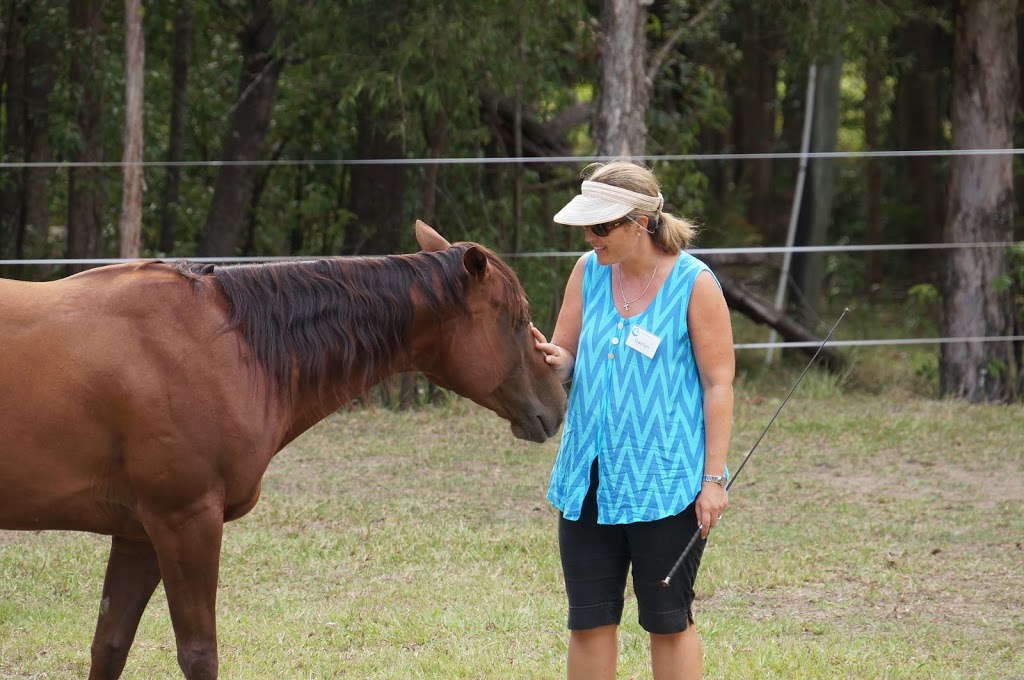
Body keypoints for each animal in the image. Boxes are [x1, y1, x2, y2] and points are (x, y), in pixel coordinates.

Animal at [0, 220, 569, 675]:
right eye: (516, 319)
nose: (558, 399)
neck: (226, 346)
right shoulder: (184, 522)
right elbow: (199, 654)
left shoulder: (138, 533)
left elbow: (110, 646)